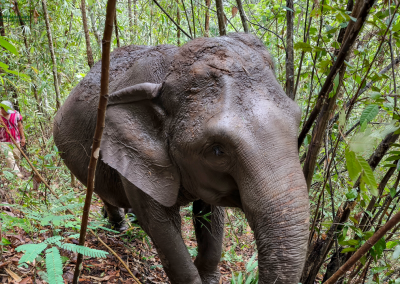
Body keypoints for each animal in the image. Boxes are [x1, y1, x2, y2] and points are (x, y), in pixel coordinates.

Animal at [54, 32, 310, 284]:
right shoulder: (135, 157)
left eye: (297, 120)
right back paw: (121, 226)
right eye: (218, 150)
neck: (167, 75)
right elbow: (162, 229)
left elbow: (211, 215)